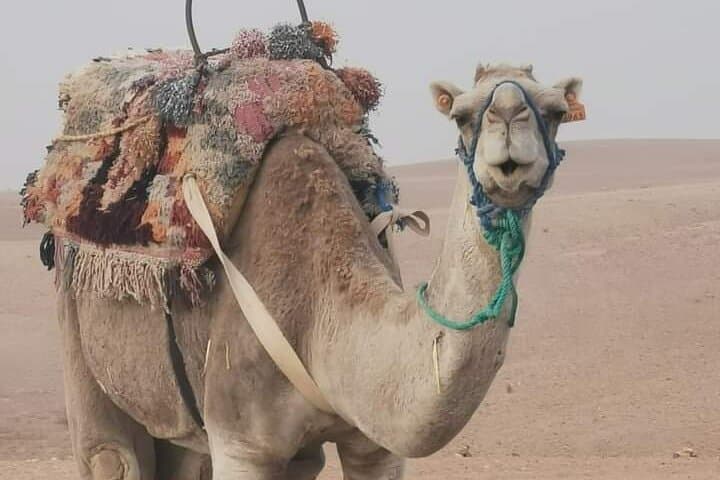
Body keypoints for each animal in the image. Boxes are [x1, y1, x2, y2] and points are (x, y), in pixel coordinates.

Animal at [56, 62, 582, 479]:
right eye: (462, 115)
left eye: (556, 111)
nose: (508, 117)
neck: (319, 313)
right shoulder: (241, 443)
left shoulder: (374, 446)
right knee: (110, 457)